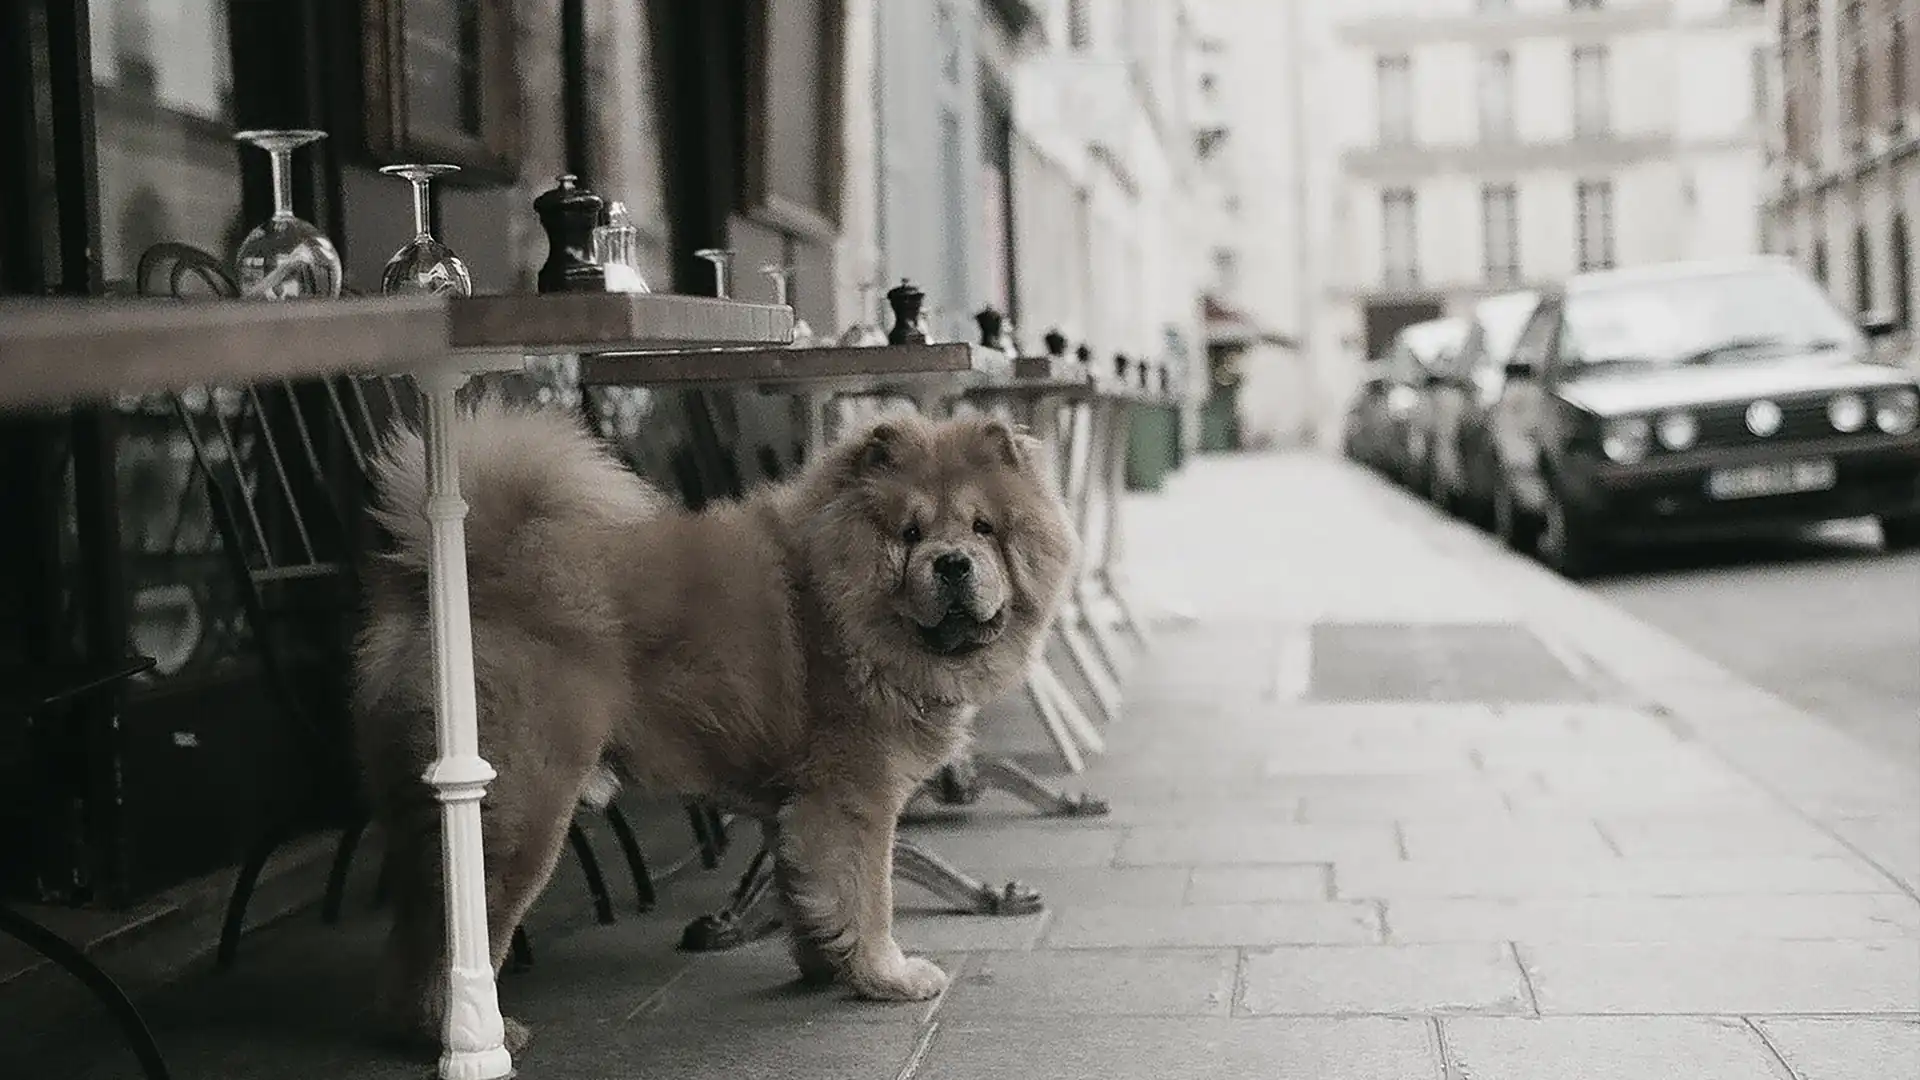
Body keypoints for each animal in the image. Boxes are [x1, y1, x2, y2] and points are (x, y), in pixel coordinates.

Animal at [351, 399, 1075, 1045]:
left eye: (983, 528)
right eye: (911, 535)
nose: (952, 563)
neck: (844, 612)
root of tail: (476, 564)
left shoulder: (794, 808)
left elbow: (806, 893)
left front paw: (823, 967)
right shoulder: (855, 800)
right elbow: (869, 895)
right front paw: (886, 976)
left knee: (411, 928)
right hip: (525, 807)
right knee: (449, 929)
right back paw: (471, 1030)